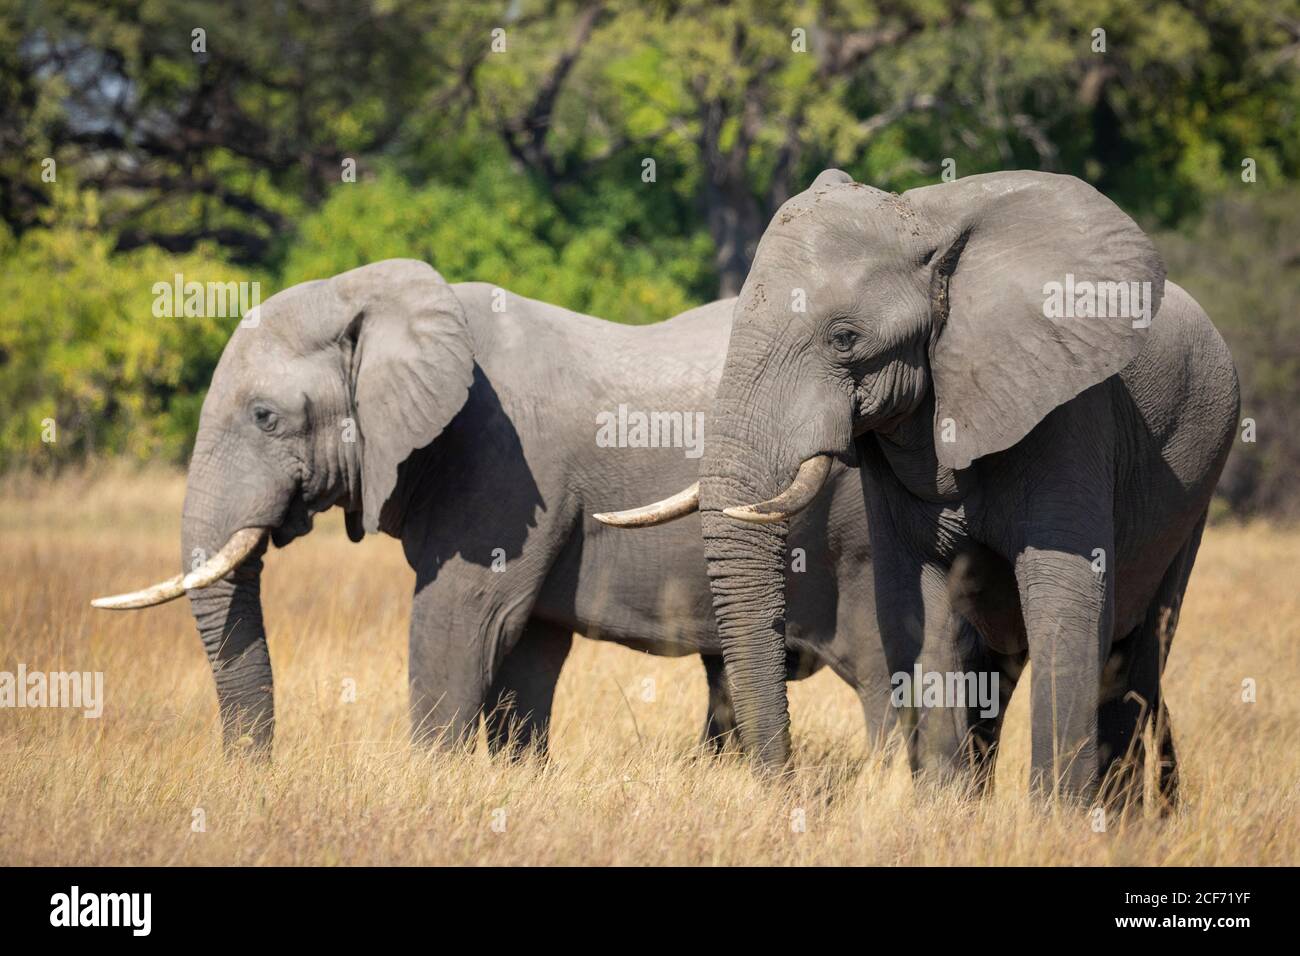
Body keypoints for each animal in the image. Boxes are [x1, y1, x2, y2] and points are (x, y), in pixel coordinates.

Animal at [91, 257, 894, 759]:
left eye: (264, 417)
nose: (254, 773)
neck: (372, 297)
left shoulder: (507, 465)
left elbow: (461, 624)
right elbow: (526, 653)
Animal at [605, 171, 1237, 806]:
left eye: (844, 338)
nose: (785, 788)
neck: (926, 224)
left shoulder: (1069, 408)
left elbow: (1067, 601)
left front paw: (1058, 819)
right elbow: (917, 607)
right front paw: (943, 809)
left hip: (1195, 486)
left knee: (1137, 651)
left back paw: (1123, 815)